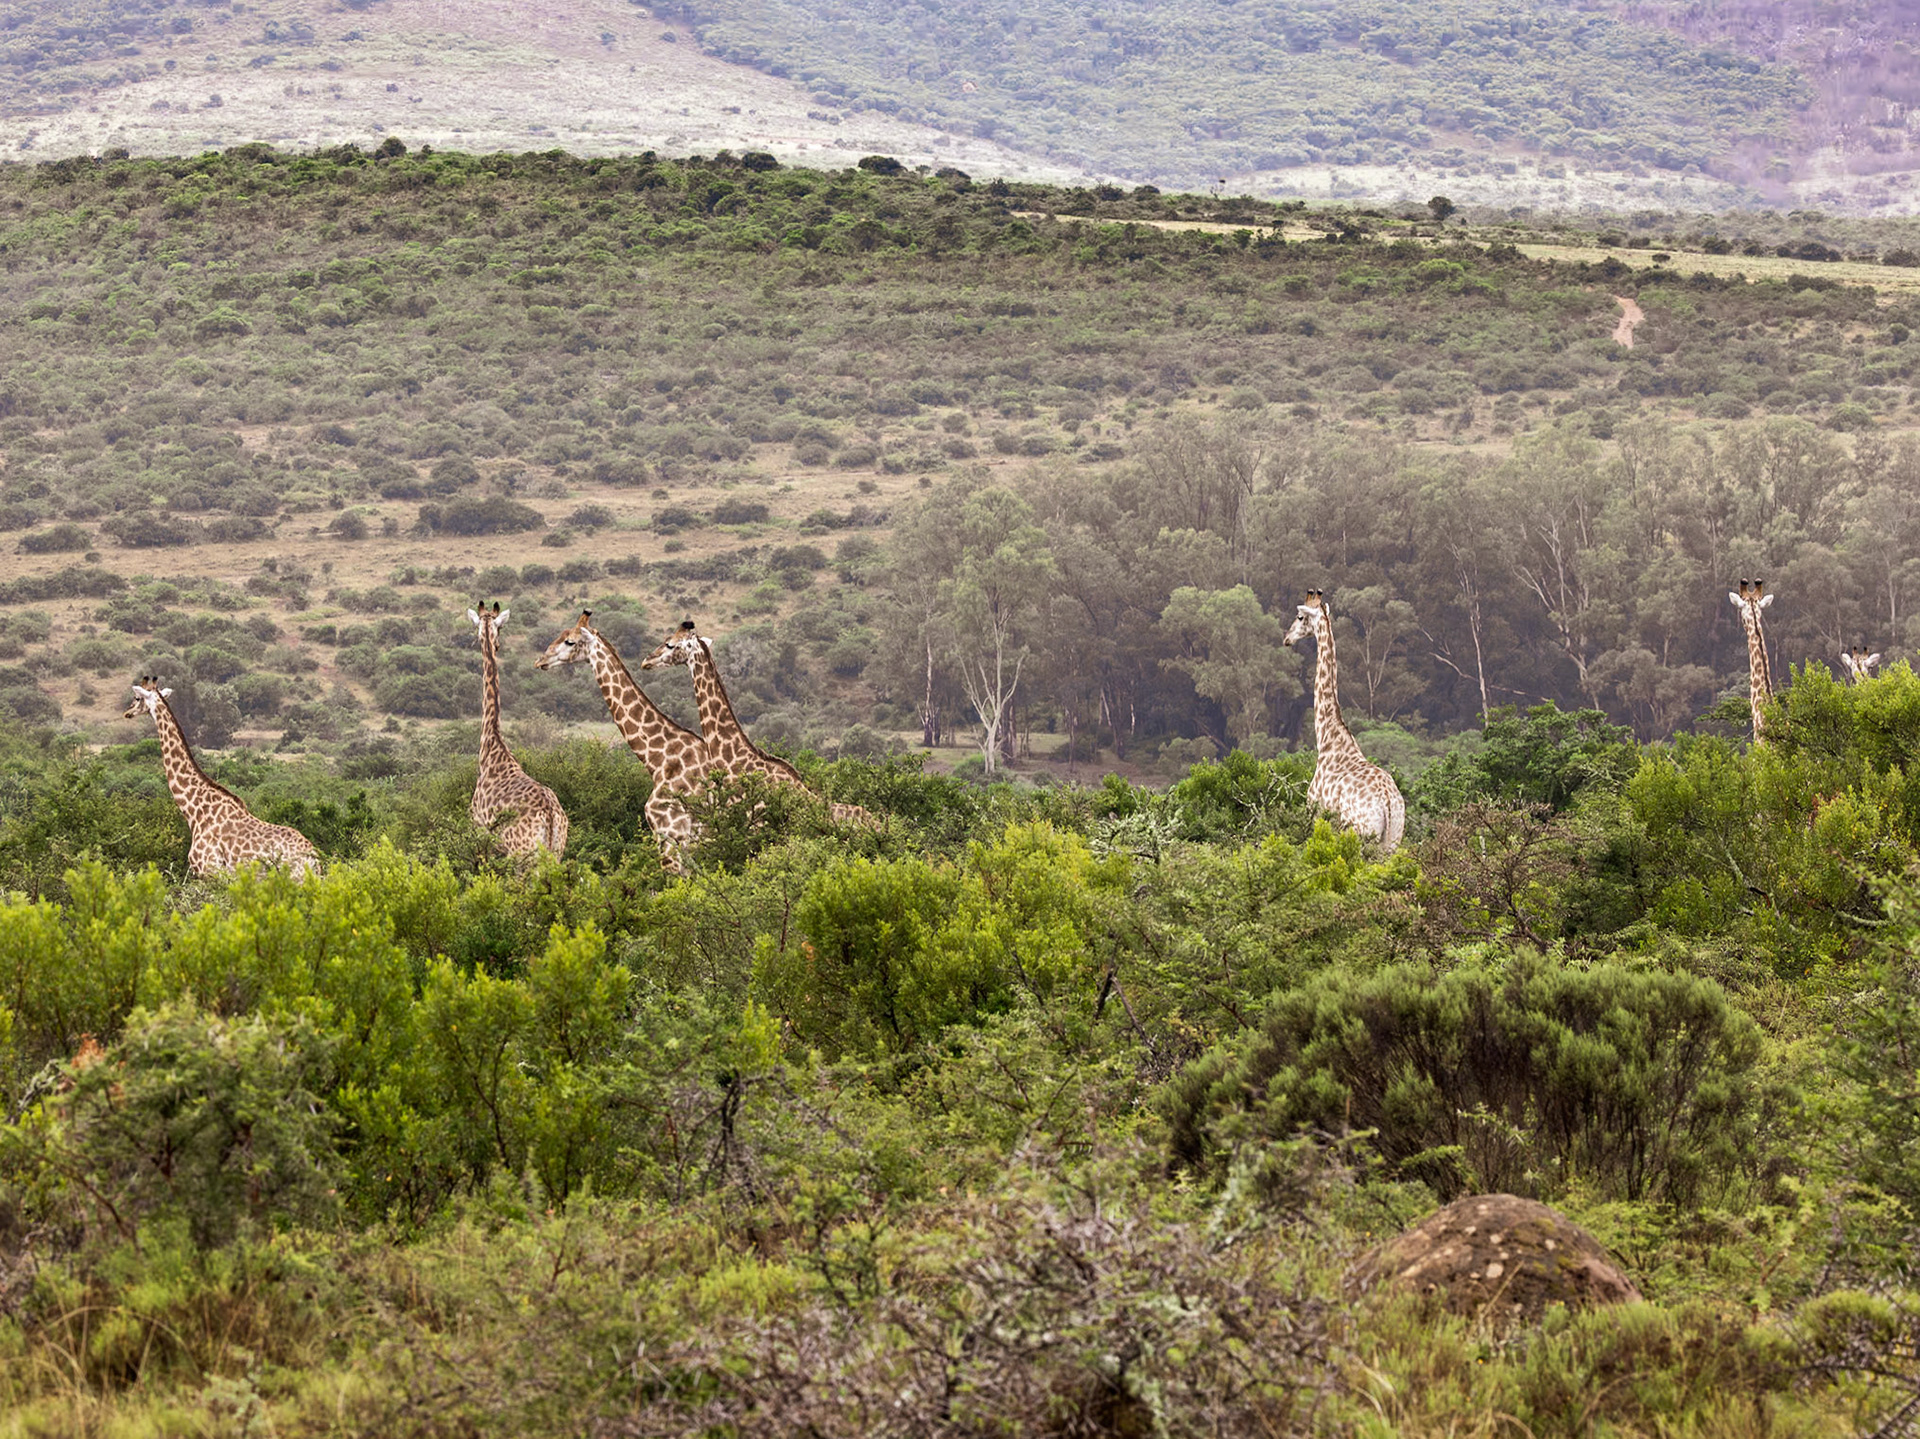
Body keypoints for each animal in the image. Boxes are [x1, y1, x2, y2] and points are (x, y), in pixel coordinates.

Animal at [1281, 590, 1406, 852]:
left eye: (1299, 617)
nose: (1286, 639)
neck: (1328, 737)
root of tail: (1388, 802)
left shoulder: (1315, 811)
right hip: (1393, 839)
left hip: (1359, 831)